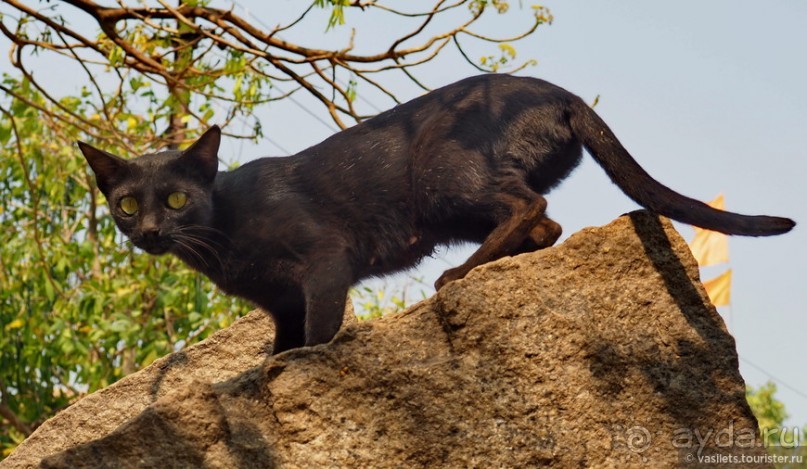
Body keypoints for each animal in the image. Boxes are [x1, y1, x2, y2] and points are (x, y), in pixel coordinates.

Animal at [79, 73, 800, 352]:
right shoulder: (278, 303)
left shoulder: (323, 265)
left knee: (530, 204)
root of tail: (560, 92)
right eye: (126, 205)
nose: (150, 230)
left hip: (442, 179)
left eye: (177, 198)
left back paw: (458, 276)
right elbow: (281, 345)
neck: (222, 238)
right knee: (546, 223)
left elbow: (317, 334)